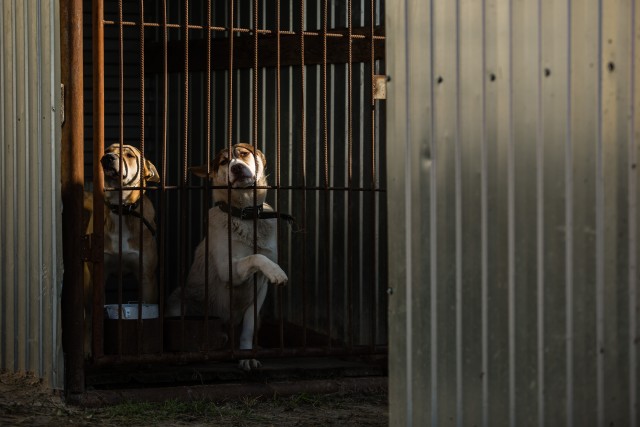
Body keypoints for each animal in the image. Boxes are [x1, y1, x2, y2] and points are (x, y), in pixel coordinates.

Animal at [83, 144, 160, 354]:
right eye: (108, 149)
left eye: (129, 155)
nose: (107, 157)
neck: (122, 209)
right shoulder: (98, 276)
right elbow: (93, 319)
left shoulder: (147, 277)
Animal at [169, 144, 292, 372]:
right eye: (224, 162)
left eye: (243, 154)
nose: (236, 168)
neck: (246, 215)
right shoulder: (229, 269)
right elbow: (255, 257)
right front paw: (277, 272)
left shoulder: (258, 295)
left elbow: (248, 329)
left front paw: (246, 356)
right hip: (178, 300)